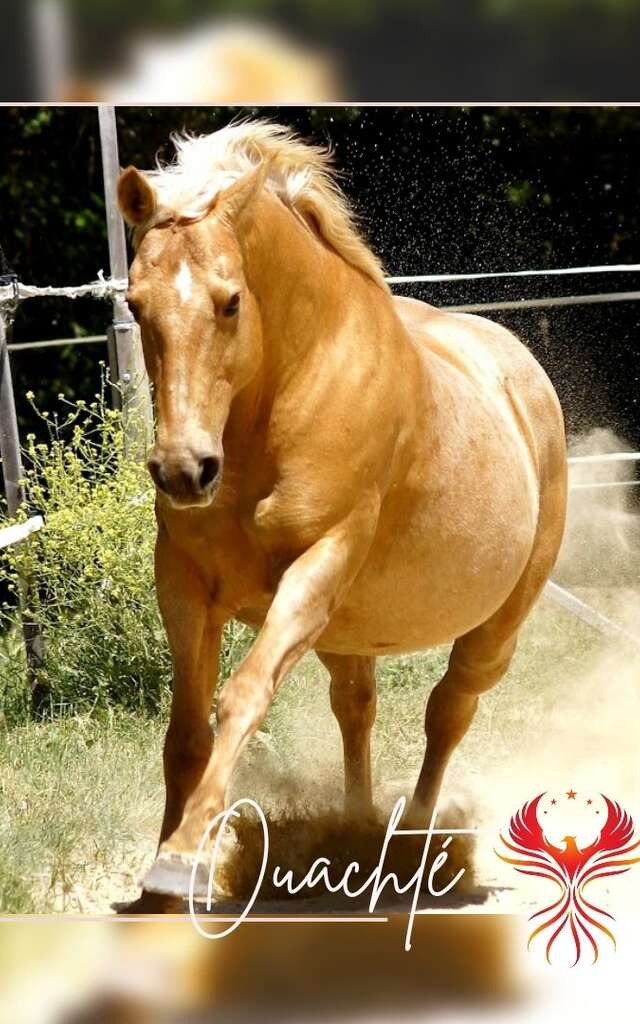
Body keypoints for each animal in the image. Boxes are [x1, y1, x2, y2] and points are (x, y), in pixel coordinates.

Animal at [117, 119, 565, 905]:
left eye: (231, 302)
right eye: (136, 304)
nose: (183, 469)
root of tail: (521, 370)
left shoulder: (316, 568)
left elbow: (242, 697)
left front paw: (183, 859)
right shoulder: (184, 582)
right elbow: (187, 732)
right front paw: (159, 883)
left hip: (494, 632)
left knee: (449, 709)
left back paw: (412, 847)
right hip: (349, 633)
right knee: (357, 707)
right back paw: (357, 835)